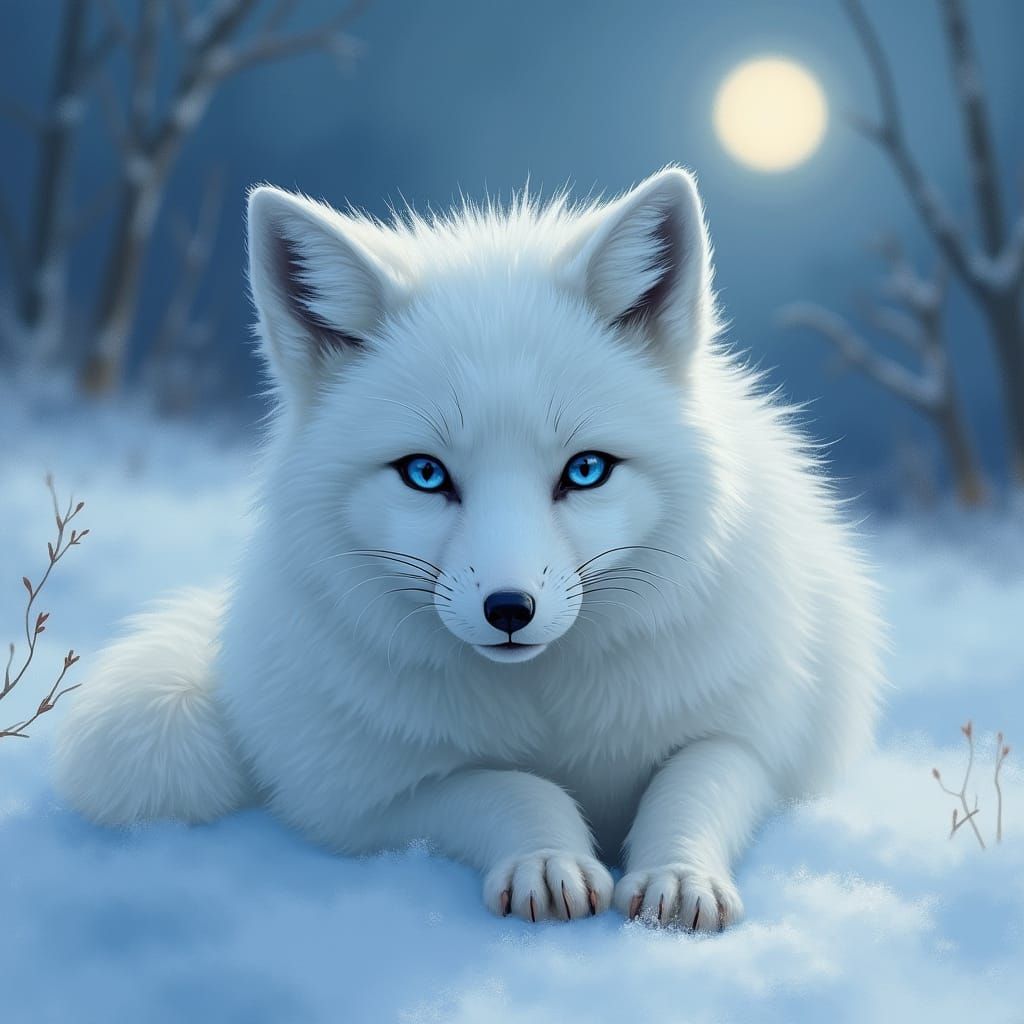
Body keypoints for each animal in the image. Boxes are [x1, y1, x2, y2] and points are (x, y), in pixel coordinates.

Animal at [53, 167, 884, 929]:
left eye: (587, 470)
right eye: (424, 474)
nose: (509, 609)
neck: (548, 709)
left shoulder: (758, 736)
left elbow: (696, 781)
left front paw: (678, 877)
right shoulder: (366, 801)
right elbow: (510, 787)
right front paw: (547, 858)